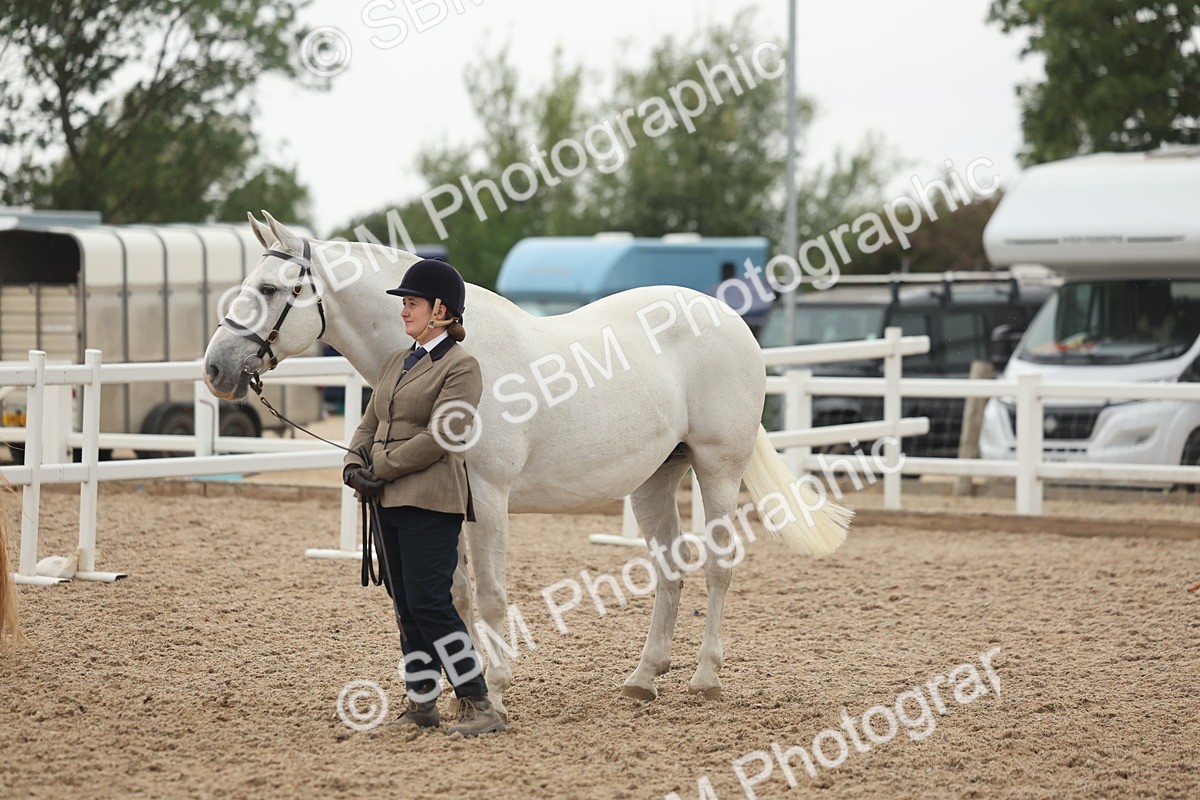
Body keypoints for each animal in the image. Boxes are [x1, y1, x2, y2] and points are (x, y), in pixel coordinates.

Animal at [203, 212, 851, 716]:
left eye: (268, 288)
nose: (215, 368)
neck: (456, 353)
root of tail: (733, 321)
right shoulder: (447, 503)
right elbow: (458, 593)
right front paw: (457, 690)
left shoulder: (488, 497)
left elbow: (491, 594)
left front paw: (497, 688)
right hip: (655, 479)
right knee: (670, 568)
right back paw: (643, 679)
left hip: (717, 467)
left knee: (718, 566)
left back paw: (705, 678)